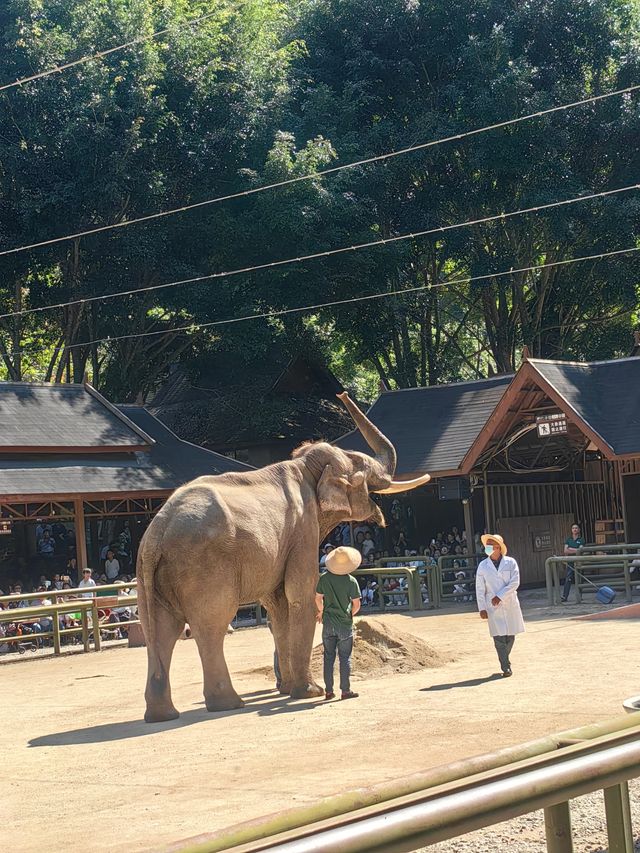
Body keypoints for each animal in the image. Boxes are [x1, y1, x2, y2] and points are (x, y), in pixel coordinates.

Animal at [138, 392, 432, 720]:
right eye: (363, 472)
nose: (342, 394)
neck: (305, 466)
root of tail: (157, 532)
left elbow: (278, 606)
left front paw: (289, 689)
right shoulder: (303, 530)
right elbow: (301, 595)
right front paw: (310, 692)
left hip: (151, 576)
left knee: (160, 630)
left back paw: (162, 715)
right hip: (204, 567)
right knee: (210, 625)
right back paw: (227, 703)